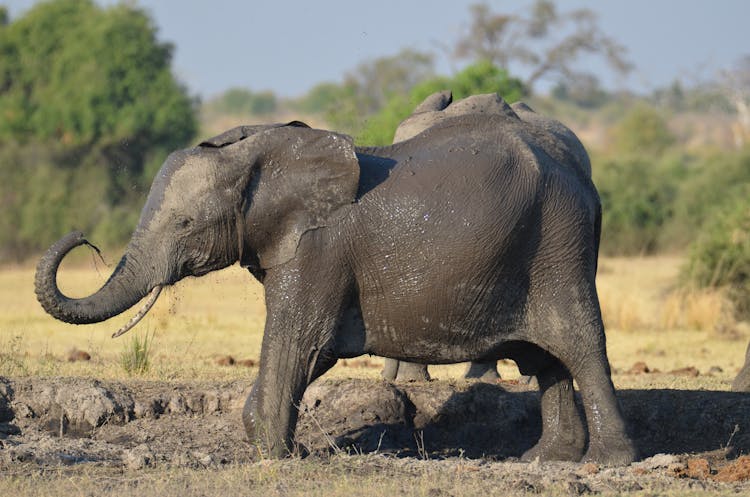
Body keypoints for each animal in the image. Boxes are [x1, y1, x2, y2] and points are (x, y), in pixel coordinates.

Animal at [33, 94, 636, 464]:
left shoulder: (316, 249)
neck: (264, 151)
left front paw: (272, 454)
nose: (83, 237)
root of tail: (584, 178)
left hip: (558, 242)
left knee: (578, 343)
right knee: (545, 358)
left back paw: (605, 462)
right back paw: (547, 460)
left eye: (184, 224)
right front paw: (277, 446)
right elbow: (305, 347)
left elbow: (300, 341)